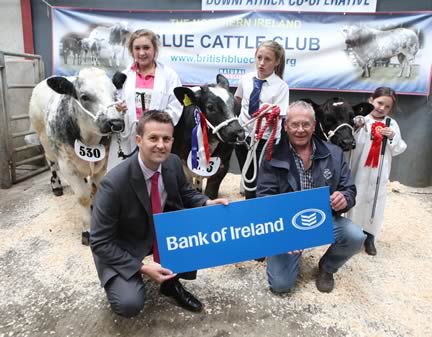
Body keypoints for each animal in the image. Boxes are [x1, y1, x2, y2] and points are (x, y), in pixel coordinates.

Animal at [29, 67, 125, 243]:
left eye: (115, 95)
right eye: (85, 96)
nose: (116, 123)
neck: (89, 139)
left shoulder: (101, 164)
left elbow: (95, 190)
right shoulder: (68, 168)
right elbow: (83, 197)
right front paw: (88, 230)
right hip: (44, 139)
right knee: (51, 164)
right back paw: (56, 186)